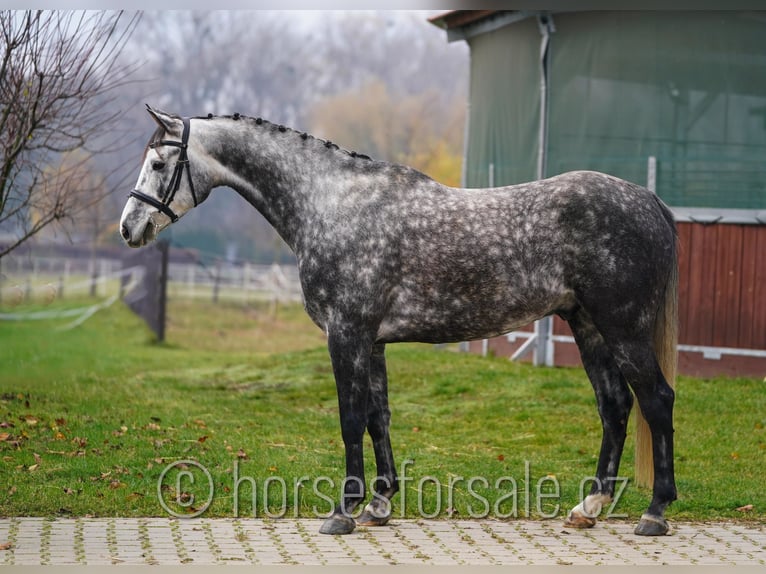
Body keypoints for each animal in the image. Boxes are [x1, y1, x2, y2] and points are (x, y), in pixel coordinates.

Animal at [120, 105, 678, 537]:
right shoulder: (373, 342)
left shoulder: (346, 334)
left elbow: (349, 419)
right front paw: (379, 504)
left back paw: (654, 513)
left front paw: (343, 510)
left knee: (656, 400)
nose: (129, 227)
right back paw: (590, 507)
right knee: (615, 405)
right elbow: (377, 417)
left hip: (623, 328)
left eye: (158, 161)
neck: (330, 202)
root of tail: (650, 200)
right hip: (588, 326)